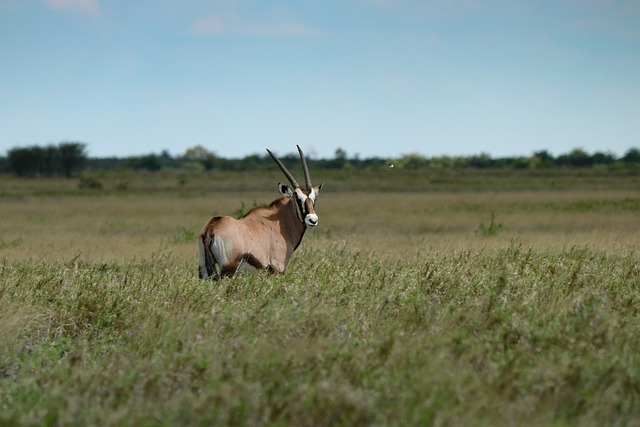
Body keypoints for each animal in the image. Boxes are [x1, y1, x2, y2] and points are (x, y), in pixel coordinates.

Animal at [198, 146, 322, 280]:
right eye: (298, 199)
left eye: (314, 199)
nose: (313, 220)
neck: (281, 223)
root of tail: (211, 228)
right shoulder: (278, 269)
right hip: (228, 270)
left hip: (204, 270)